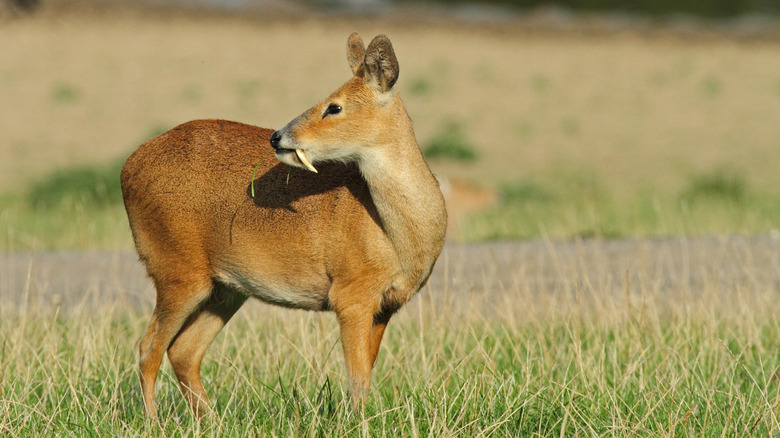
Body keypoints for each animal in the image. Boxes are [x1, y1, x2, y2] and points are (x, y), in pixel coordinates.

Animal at [122, 33, 450, 418]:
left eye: (334, 107)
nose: (278, 136)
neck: (399, 236)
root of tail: (128, 167)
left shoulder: (387, 304)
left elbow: (366, 372)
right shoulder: (350, 293)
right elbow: (357, 379)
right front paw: (357, 423)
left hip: (224, 289)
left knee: (182, 351)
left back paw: (211, 420)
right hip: (175, 269)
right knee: (148, 348)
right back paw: (154, 421)